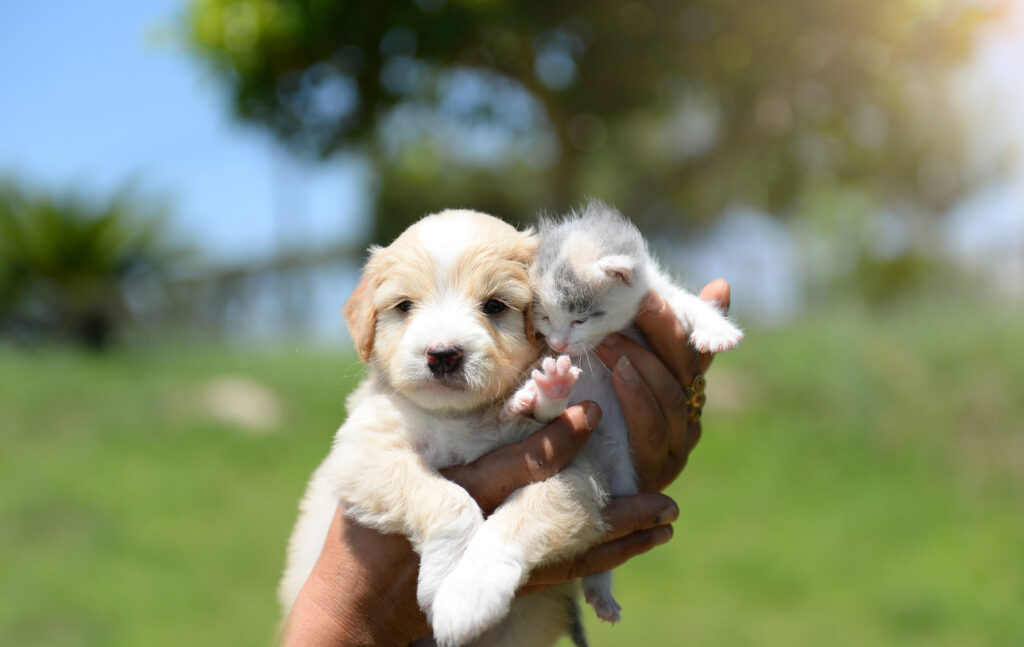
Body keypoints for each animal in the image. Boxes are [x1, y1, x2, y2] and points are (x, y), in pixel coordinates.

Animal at [280, 210, 606, 647]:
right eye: (404, 306)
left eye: (494, 305)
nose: (443, 355)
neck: (458, 417)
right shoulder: (365, 452)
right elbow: (449, 499)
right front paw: (446, 580)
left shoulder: (579, 473)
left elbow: (526, 511)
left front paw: (467, 596)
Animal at [516, 200, 741, 622]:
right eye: (544, 316)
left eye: (580, 318)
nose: (559, 344)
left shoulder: (654, 295)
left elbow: (686, 303)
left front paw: (717, 330)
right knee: (547, 417)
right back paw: (542, 392)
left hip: (617, 473)